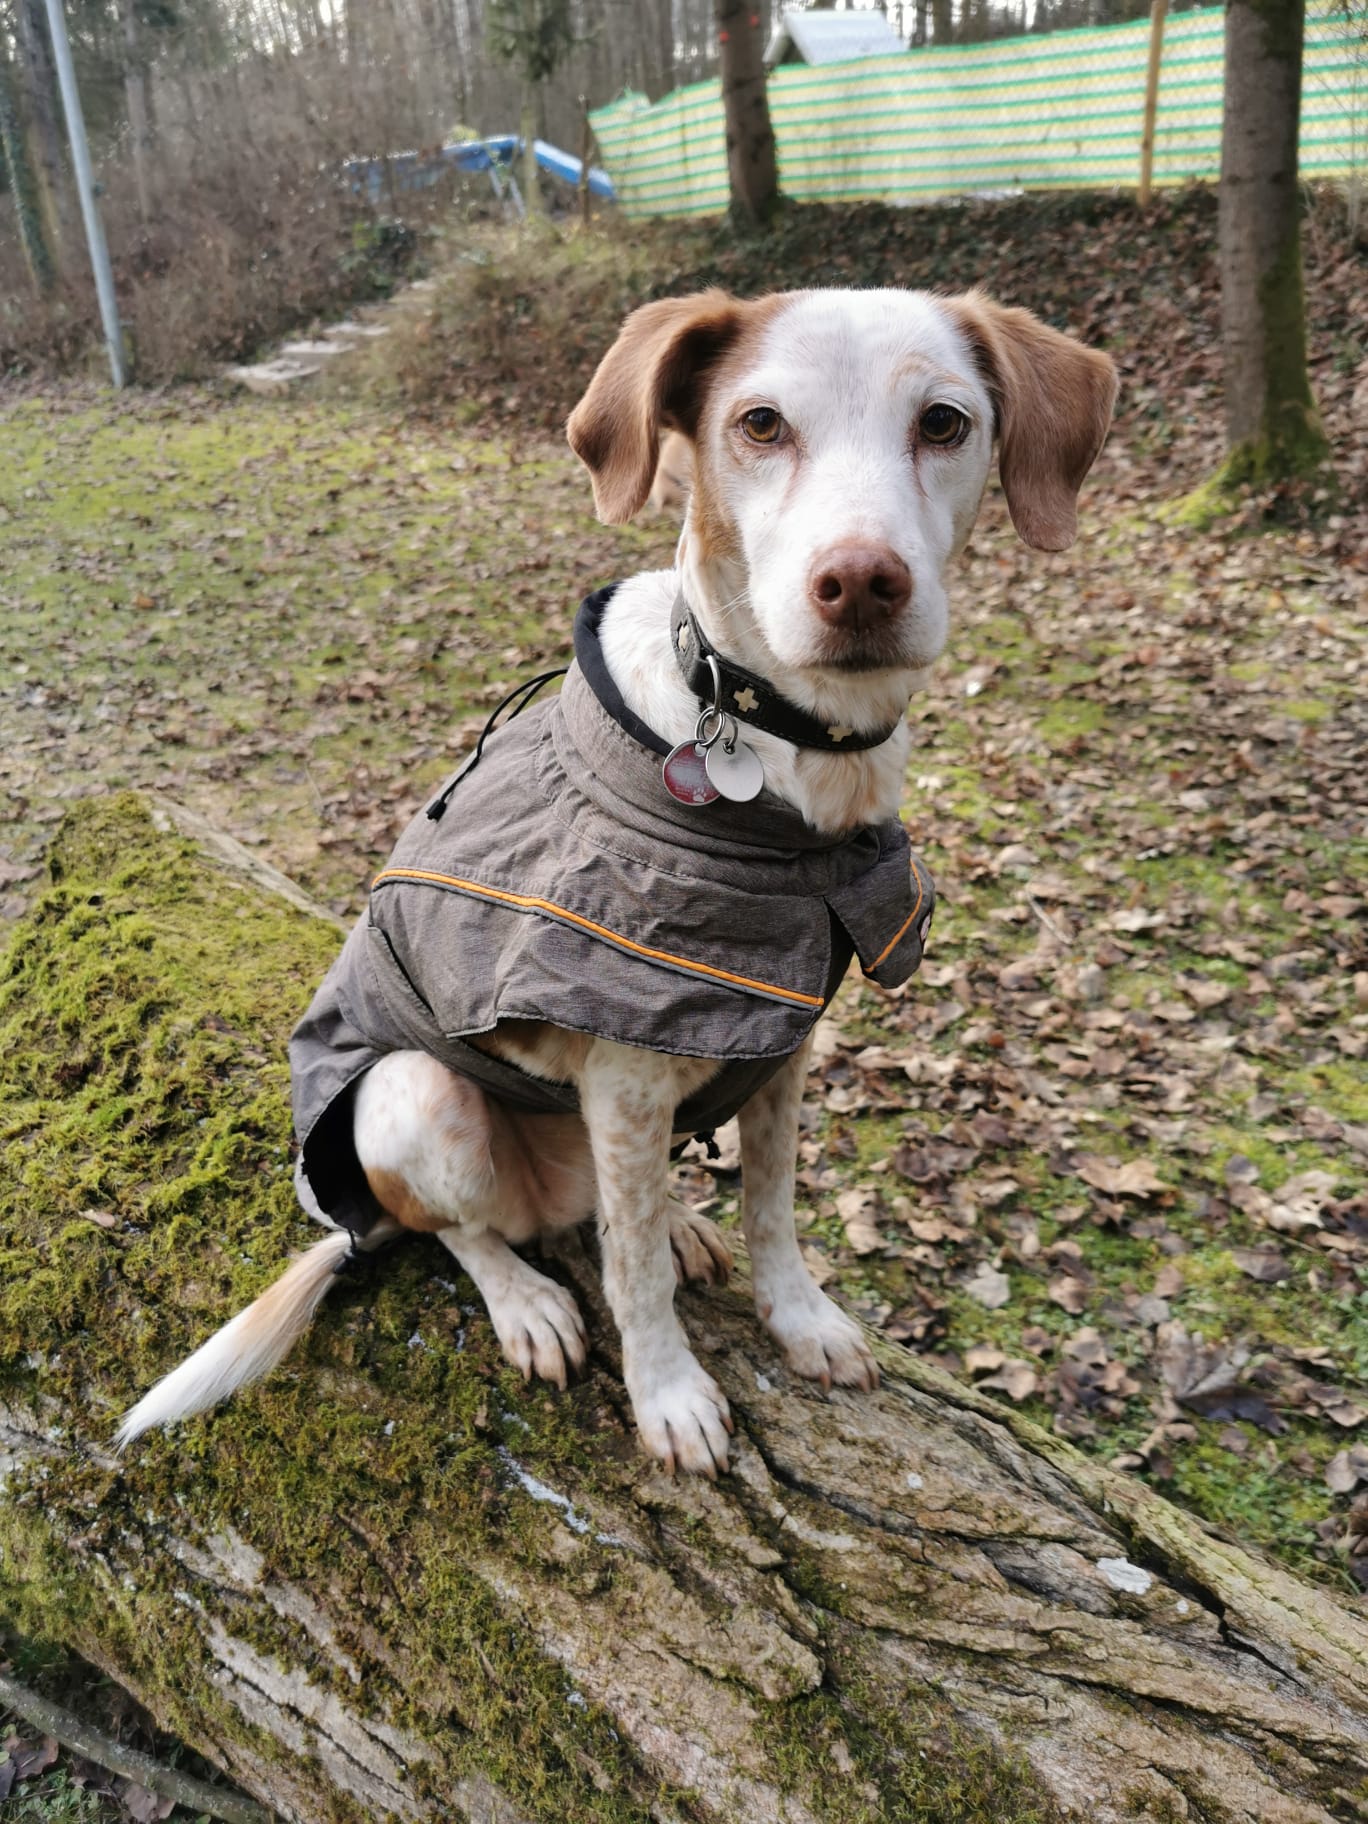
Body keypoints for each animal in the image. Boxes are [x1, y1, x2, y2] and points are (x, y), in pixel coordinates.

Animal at [117, 288, 1116, 1481]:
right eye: (760, 424)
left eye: (945, 423)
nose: (862, 583)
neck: (793, 773)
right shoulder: (626, 1078)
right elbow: (632, 1274)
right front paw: (668, 1396)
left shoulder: (781, 1047)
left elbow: (774, 1206)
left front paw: (800, 1318)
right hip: (413, 1098)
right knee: (476, 1232)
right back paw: (528, 1303)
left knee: (604, 1207)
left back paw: (678, 1223)